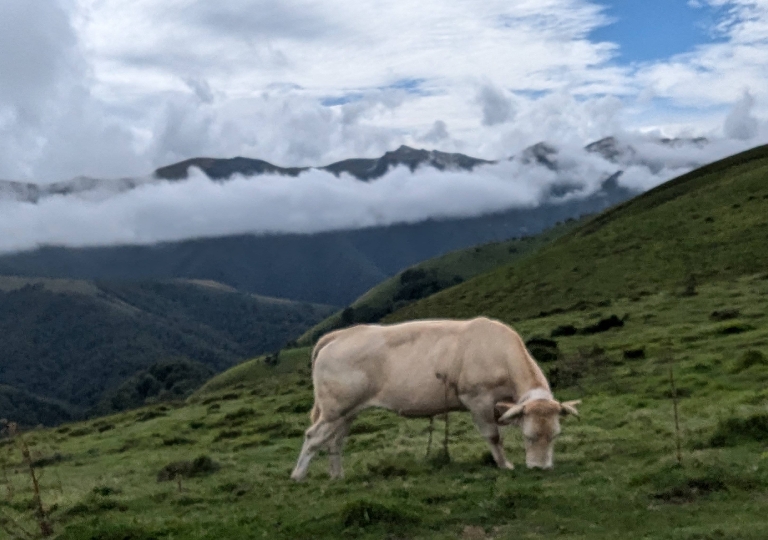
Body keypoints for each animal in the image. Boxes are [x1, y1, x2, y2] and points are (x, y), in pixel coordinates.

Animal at [292, 316, 580, 480]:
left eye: (555, 435)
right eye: (528, 436)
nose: (541, 469)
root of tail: (341, 335)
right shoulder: (477, 400)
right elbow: (493, 437)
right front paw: (504, 465)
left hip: (347, 411)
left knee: (335, 441)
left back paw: (337, 475)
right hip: (334, 408)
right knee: (313, 436)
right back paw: (298, 475)